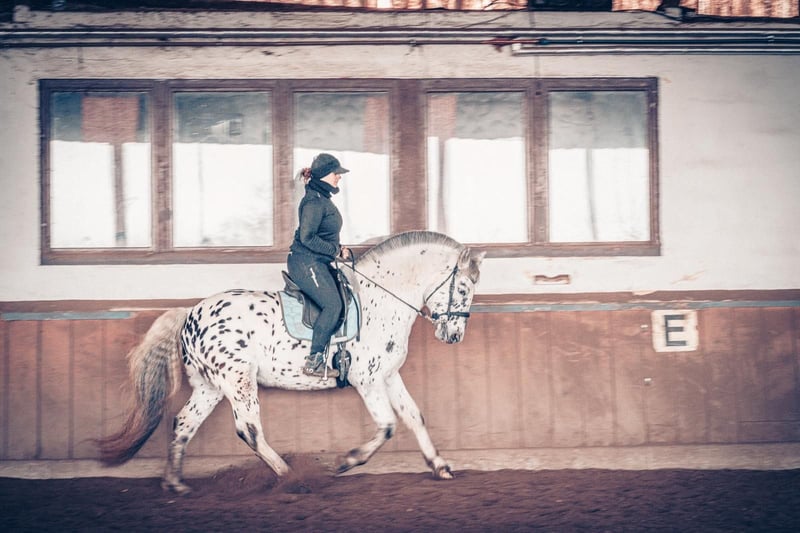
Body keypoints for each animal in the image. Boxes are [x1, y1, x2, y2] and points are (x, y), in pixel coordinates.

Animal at [97, 230, 486, 494]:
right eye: (463, 289)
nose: (454, 336)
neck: (380, 300)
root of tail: (190, 313)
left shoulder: (388, 376)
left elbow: (414, 417)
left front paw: (440, 466)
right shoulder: (368, 380)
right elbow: (388, 425)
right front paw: (346, 462)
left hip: (211, 386)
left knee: (183, 423)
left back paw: (175, 484)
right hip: (239, 380)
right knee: (249, 429)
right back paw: (289, 477)